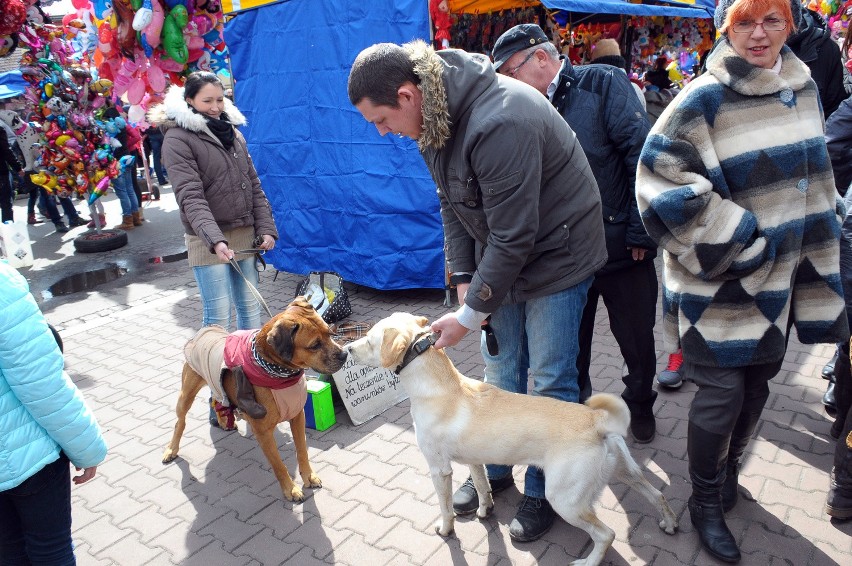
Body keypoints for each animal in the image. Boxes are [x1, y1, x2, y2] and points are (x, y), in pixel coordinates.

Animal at [163, 298, 350, 502]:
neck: (275, 371)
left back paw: (223, 419)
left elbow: (302, 451)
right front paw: (290, 489)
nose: (344, 355)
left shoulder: (297, 416)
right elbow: (278, 465)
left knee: (217, 398)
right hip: (186, 394)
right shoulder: (263, 433)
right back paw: (171, 449)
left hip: (216, 384)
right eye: (314, 345)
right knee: (180, 422)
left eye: (330, 333)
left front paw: (308, 476)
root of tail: (205, 330)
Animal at [342, 316, 676, 566]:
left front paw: (446, 530)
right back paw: (670, 523)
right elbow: (482, 487)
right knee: (657, 494)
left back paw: (588, 562)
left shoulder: (439, 469)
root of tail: (597, 420)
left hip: (565, 499)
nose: (345, 350)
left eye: (369, 340)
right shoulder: (474, 461)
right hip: (625, 471)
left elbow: (446, 508)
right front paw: (484, 510)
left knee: (606, 534)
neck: (438, 387)